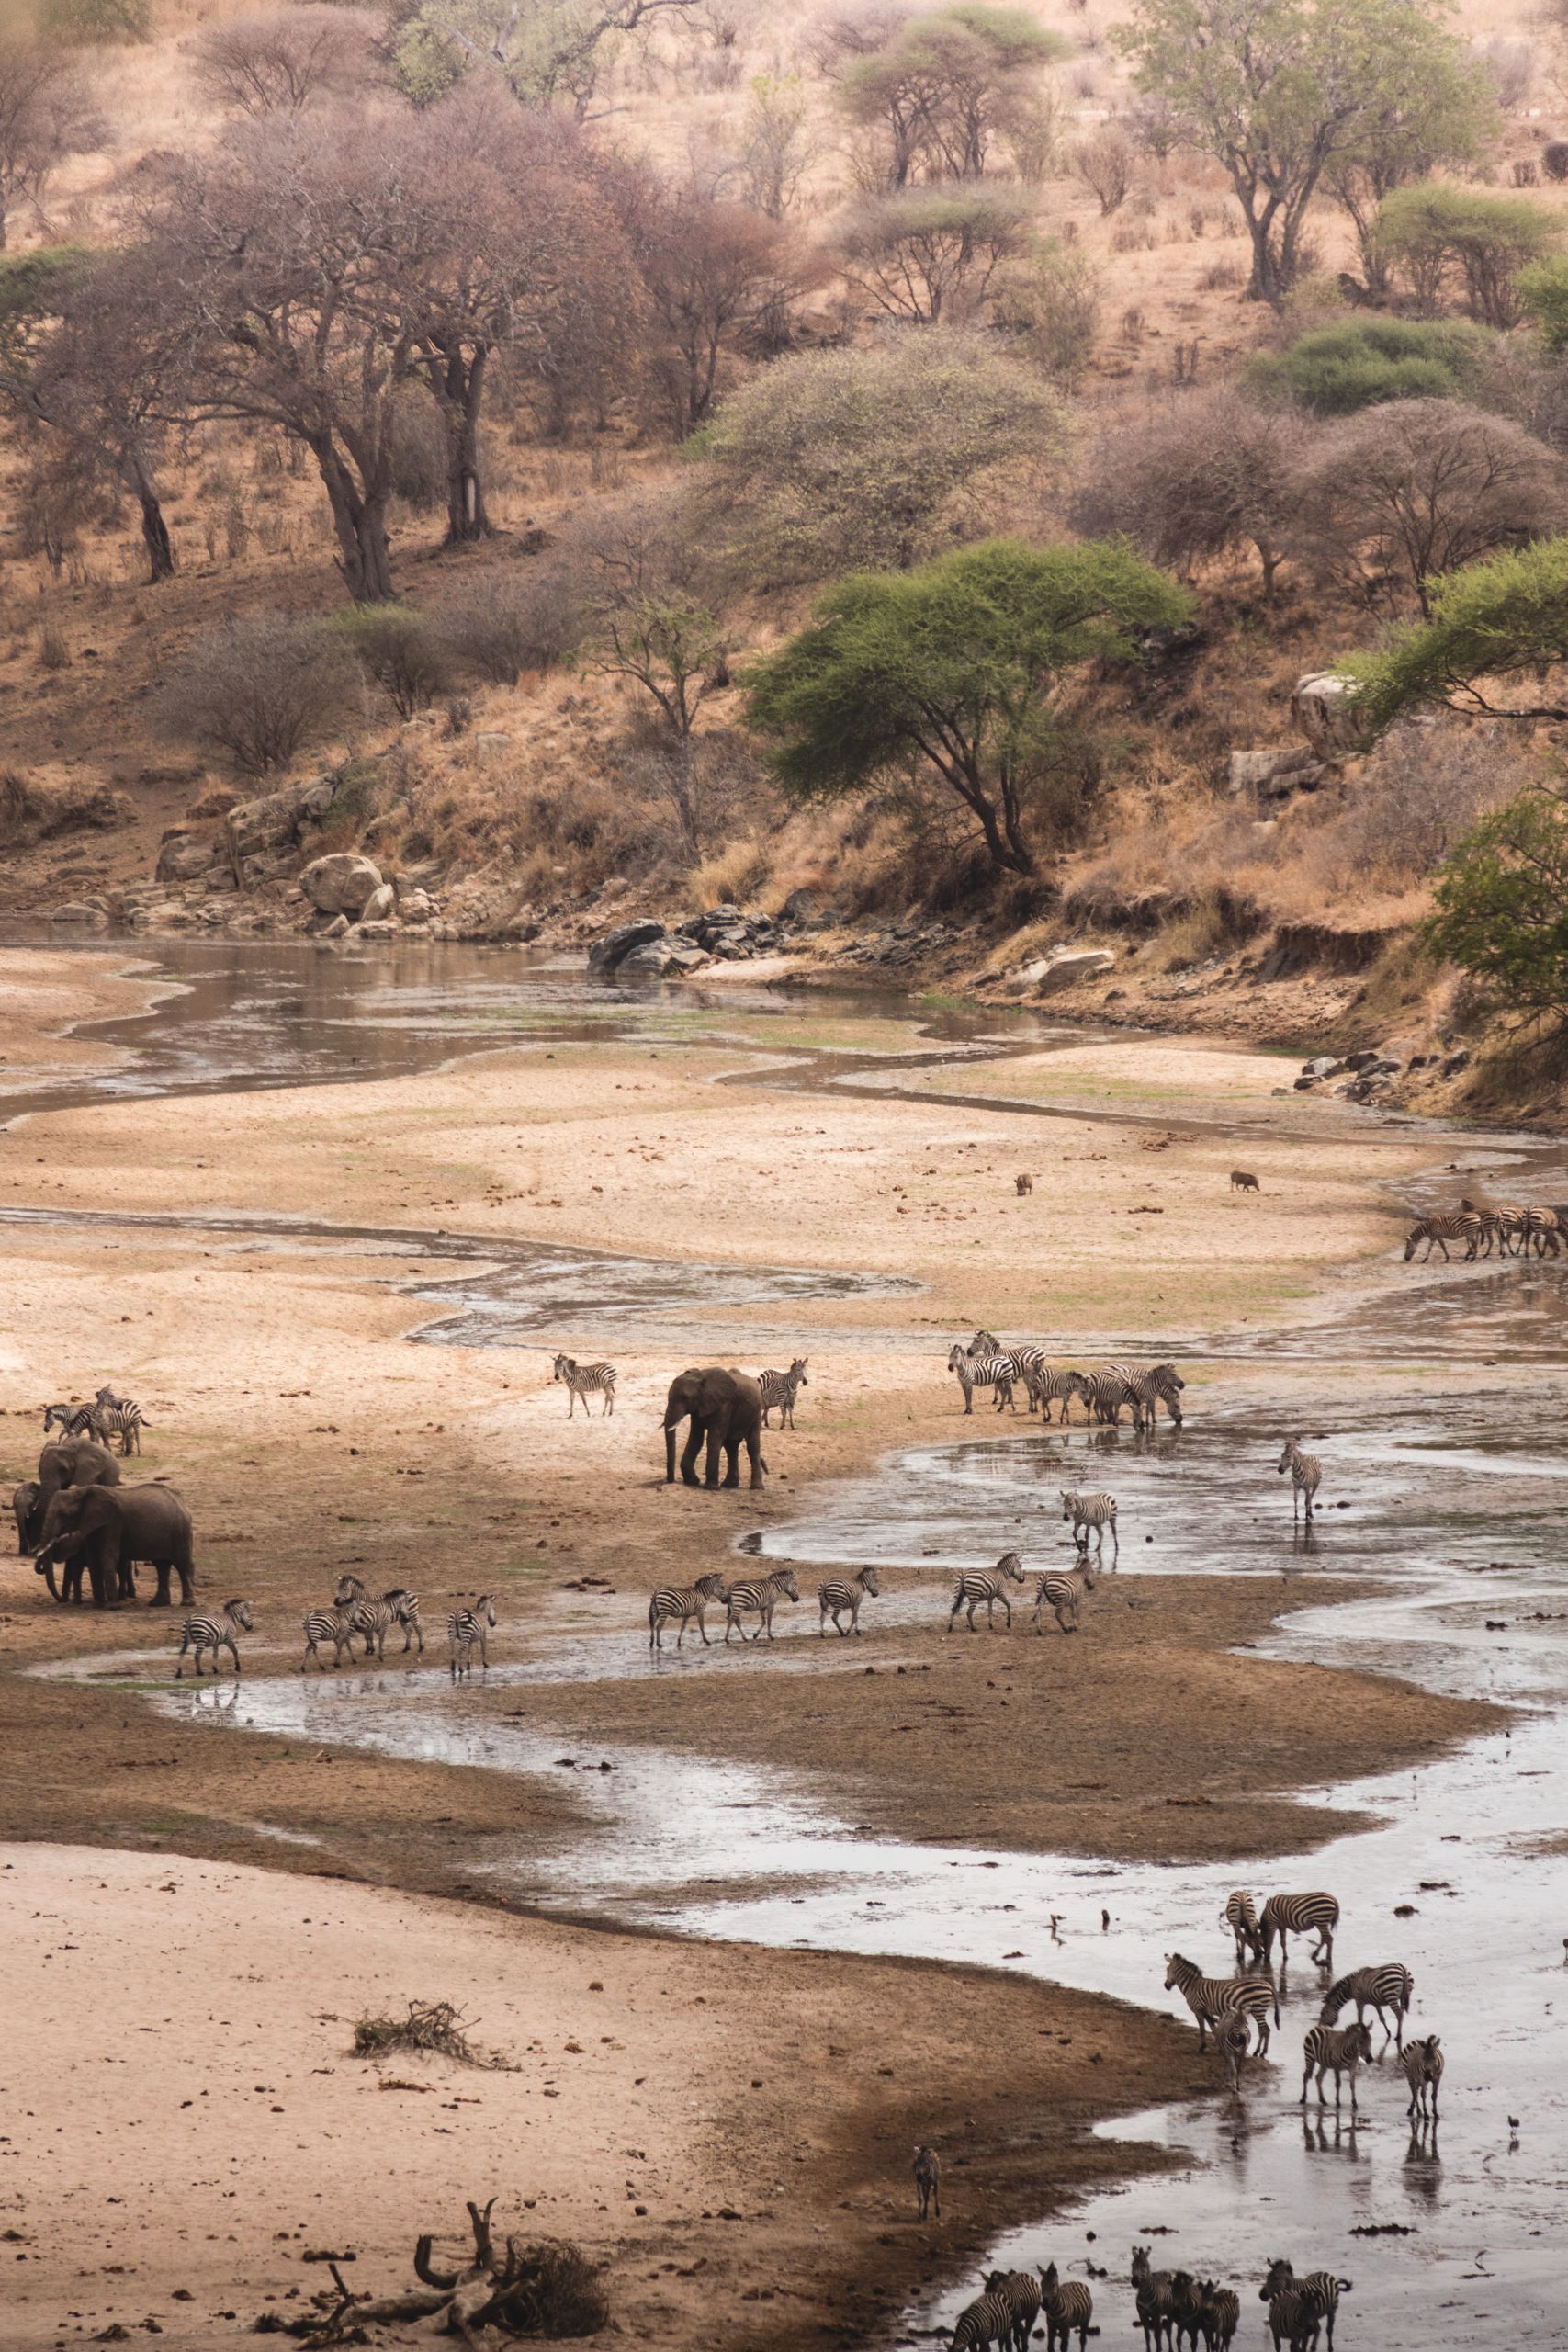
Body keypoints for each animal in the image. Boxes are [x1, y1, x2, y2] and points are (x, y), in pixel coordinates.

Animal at [33, 1482, 195, 1609]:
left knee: (181, 1564)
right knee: (162, 1566)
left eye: (64, 1514)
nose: (61, 1600)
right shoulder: (92, 1524)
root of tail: (181, 1501)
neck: (82, 1491)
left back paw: (187, 1603)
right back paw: (157, 1603)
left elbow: (107, 1555)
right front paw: (98, 1605)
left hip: (181, 1530)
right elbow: (93, 1559)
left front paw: (112, 1607)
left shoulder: (112, 1521)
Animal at [662, 1367, 767, 1492]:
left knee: (752, 1445)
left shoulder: (724, 1404)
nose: (670, 1480)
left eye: (685, 1398)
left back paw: (756, 1488)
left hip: (756, 1412)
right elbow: (696, 1438)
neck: (700, 1377)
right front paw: (693, 1481)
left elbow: (714, 1437)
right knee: (731, 1446)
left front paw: (710, 1488)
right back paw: (729, 1485)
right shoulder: (698, 1408)